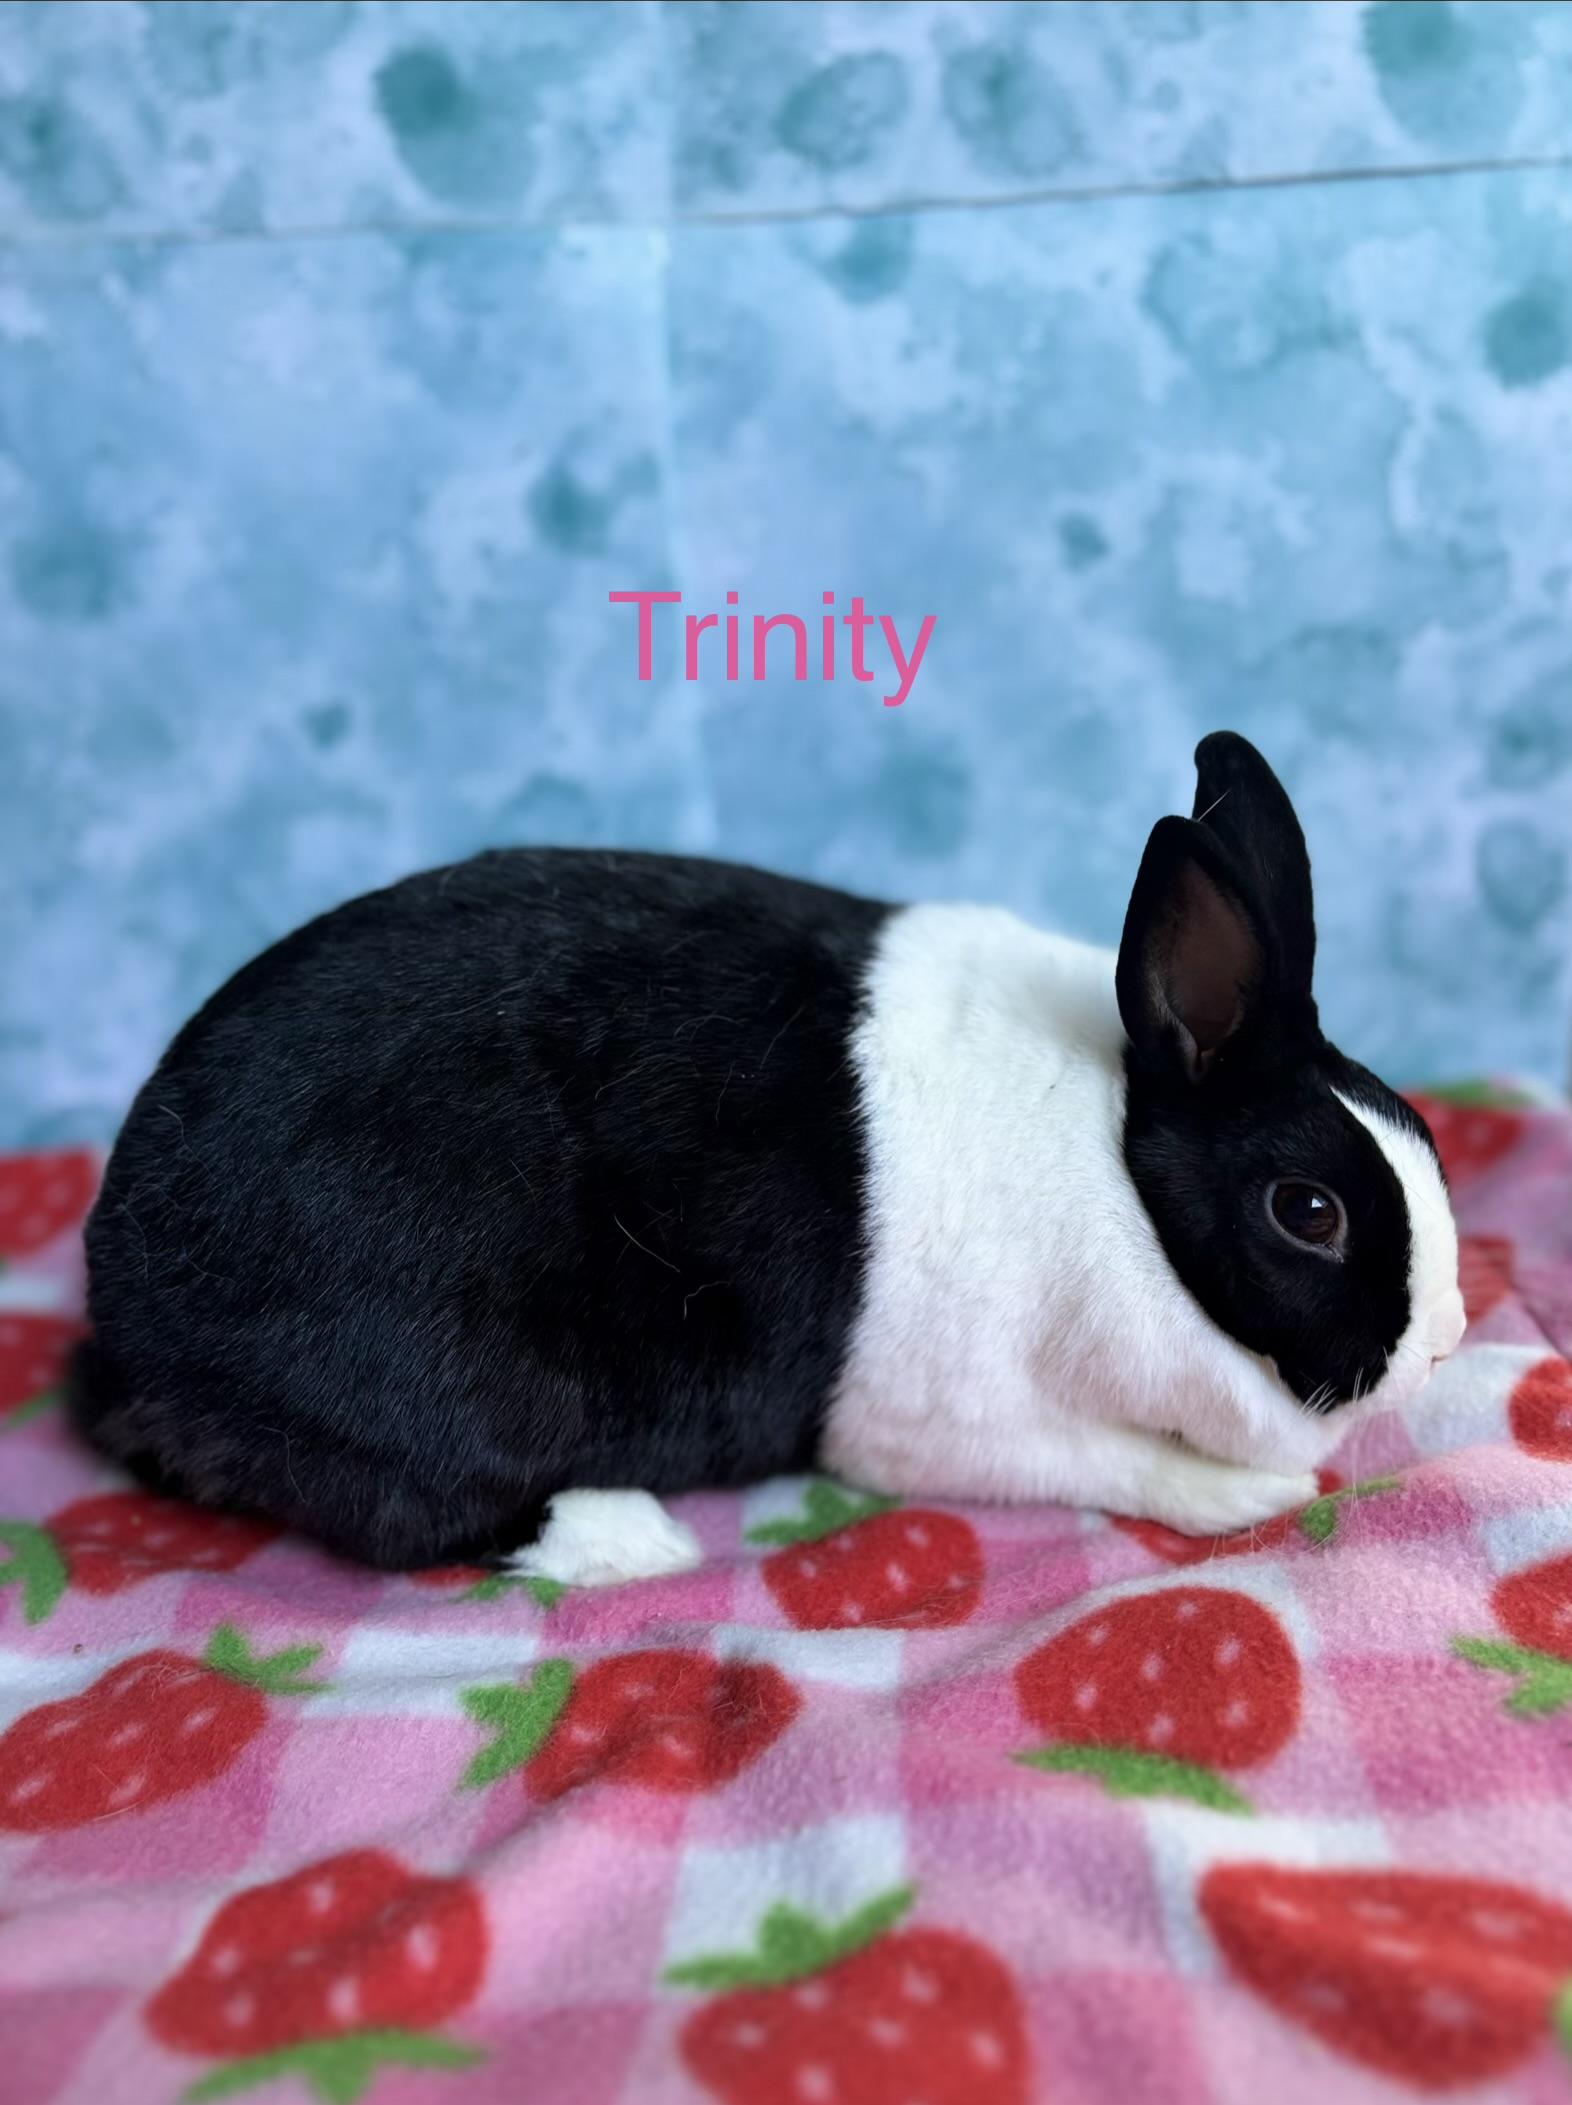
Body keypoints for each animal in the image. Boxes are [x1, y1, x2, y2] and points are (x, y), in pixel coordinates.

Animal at [70, 732, 1465, 1585]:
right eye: (1308, 1209)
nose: (1451, 1338)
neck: (1125, 1169)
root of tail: (131, 1324)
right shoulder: (952, 1421)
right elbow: (1115, 1462)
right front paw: (1247, 1496)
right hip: (448, 1389)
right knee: (417, 1514)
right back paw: (629, 1538)